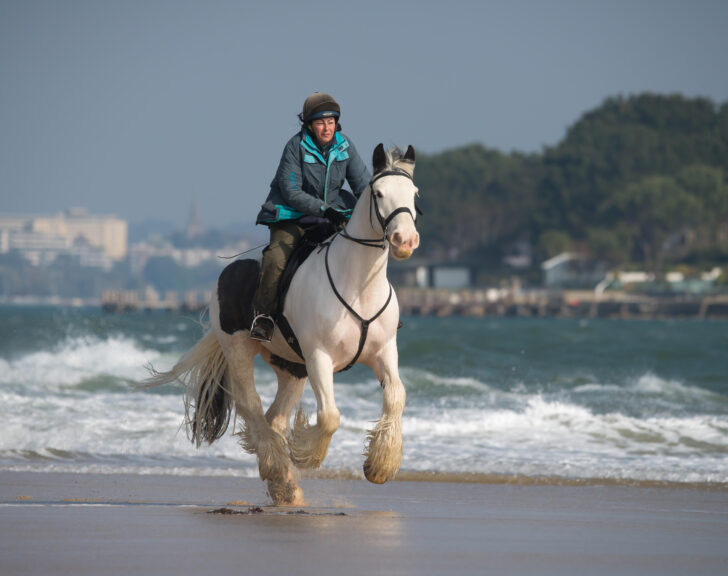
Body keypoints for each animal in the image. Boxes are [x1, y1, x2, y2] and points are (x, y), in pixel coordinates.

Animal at [146, 143, 420, 504]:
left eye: (414, 194)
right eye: (378, 193)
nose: (405, 240)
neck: (359, 284)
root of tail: (226, 272)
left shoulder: (384, 353)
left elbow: (396, 397)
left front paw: (380, 464)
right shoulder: (319, 357)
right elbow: (330, 417)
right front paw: (304, 452)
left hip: (291, 367)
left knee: (274, 416)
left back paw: (285, 485)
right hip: (239, 349)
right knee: (251, 405)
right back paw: (276, 466)